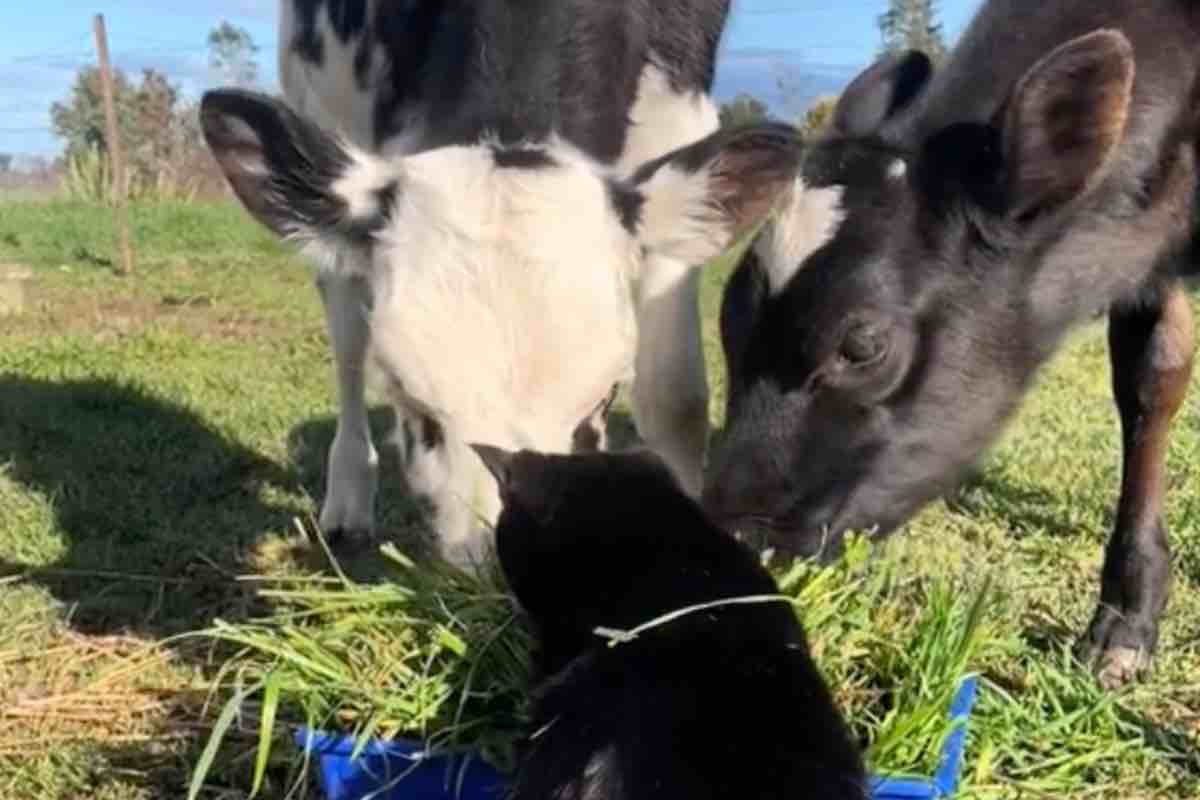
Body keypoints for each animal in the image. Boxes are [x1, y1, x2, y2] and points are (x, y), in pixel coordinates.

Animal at [700, 0, 1200, 690]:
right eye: (729, 317)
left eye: (862, 345)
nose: (727, 543)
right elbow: (1147, 379)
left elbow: (1156, 377)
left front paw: (1124, 620)